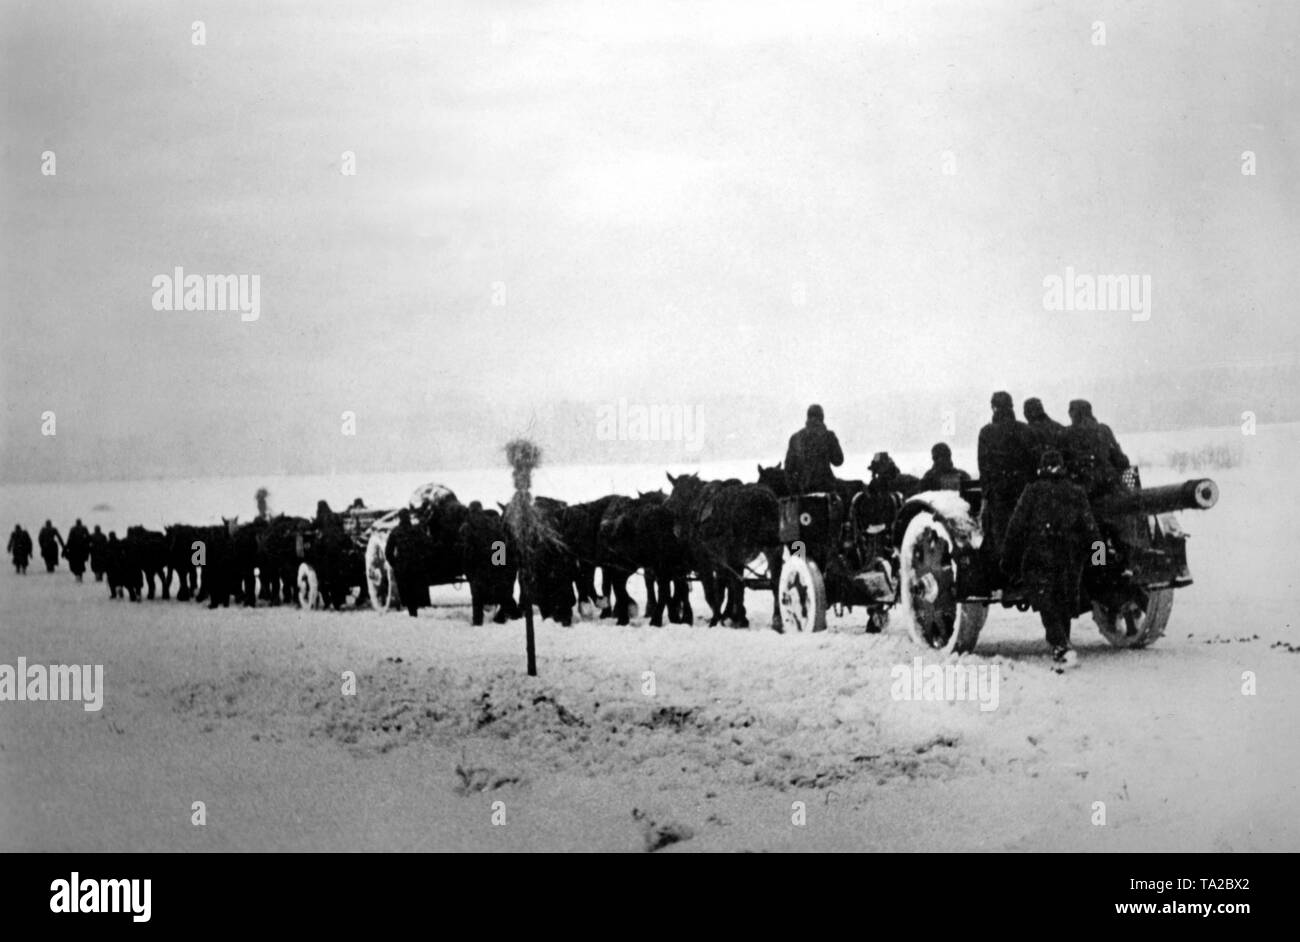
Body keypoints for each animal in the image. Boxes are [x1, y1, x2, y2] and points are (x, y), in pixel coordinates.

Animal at [665, 472, 774, 628]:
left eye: (675, 495)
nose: (676, 529)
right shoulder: (722, 564)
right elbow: (725, 590)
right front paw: (731, 616)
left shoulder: (708, 563)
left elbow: (715, 593)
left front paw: (721, 618)